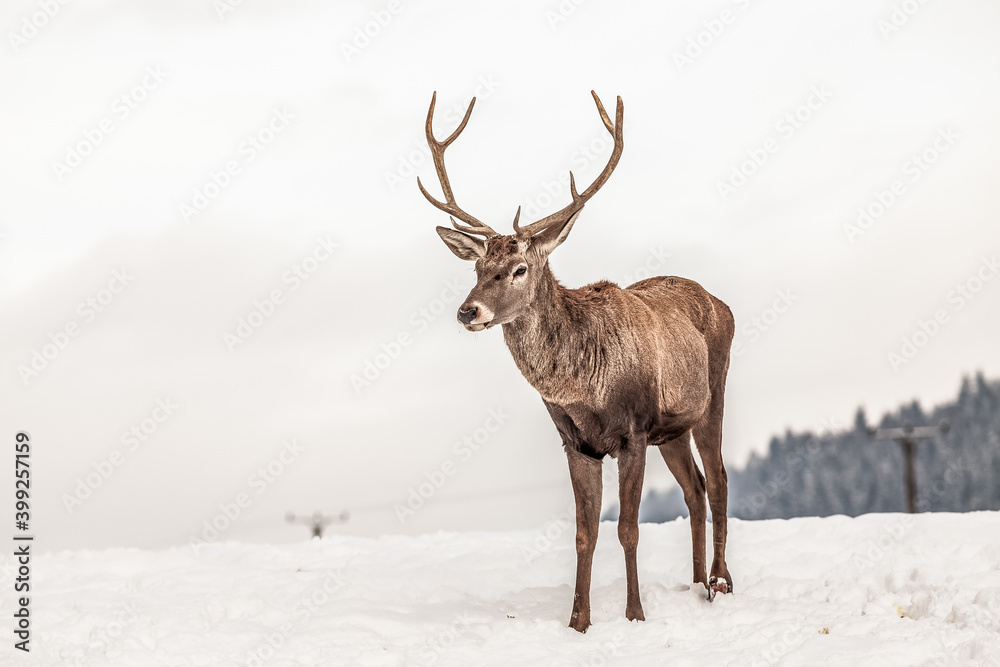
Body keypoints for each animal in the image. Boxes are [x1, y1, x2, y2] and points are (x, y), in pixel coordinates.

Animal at [414, 91, 736, 636]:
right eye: (478, 267)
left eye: (520, 268)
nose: (468, 311)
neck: (583, 388)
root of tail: (722, 303)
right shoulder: (576, 442)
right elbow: (585, 534)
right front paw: (578, 622)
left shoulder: (633, 431)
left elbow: (628, 529)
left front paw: (635, 614)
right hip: (671, 429)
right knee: (693, 489)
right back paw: (696, 585)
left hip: (712, 394)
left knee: (718, 482)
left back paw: (721, 582)